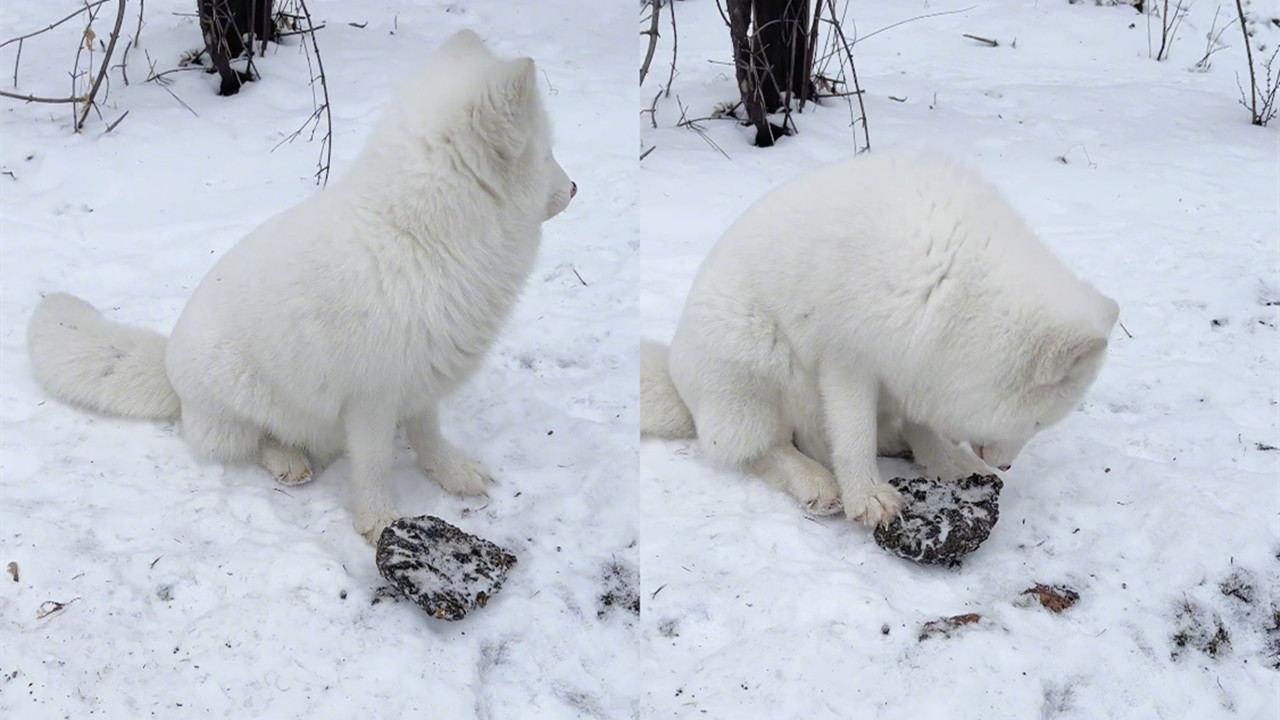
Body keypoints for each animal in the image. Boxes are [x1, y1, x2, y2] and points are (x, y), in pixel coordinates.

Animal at [26, 29, 576, 543]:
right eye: (548, 153)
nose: (574, 188)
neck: (418, 238)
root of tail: (168, 369)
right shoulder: (371, 399)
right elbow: (373, 465)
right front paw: (379, 522)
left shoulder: (421, 381)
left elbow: (429, 438)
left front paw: (452, 472)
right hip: (244, 403)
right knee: (252, 443)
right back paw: (287, 460)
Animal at [640, 154, 1121, 527]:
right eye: (1038, 422)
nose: (1004, 465)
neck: (955, 281)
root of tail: (680, 387)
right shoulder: (847, 361)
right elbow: (853, 438)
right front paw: (868, 497)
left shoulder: (917, 362)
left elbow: (922, 427)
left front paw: (945, 463)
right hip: (755, 363)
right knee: (760, 449)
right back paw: (815, 481)